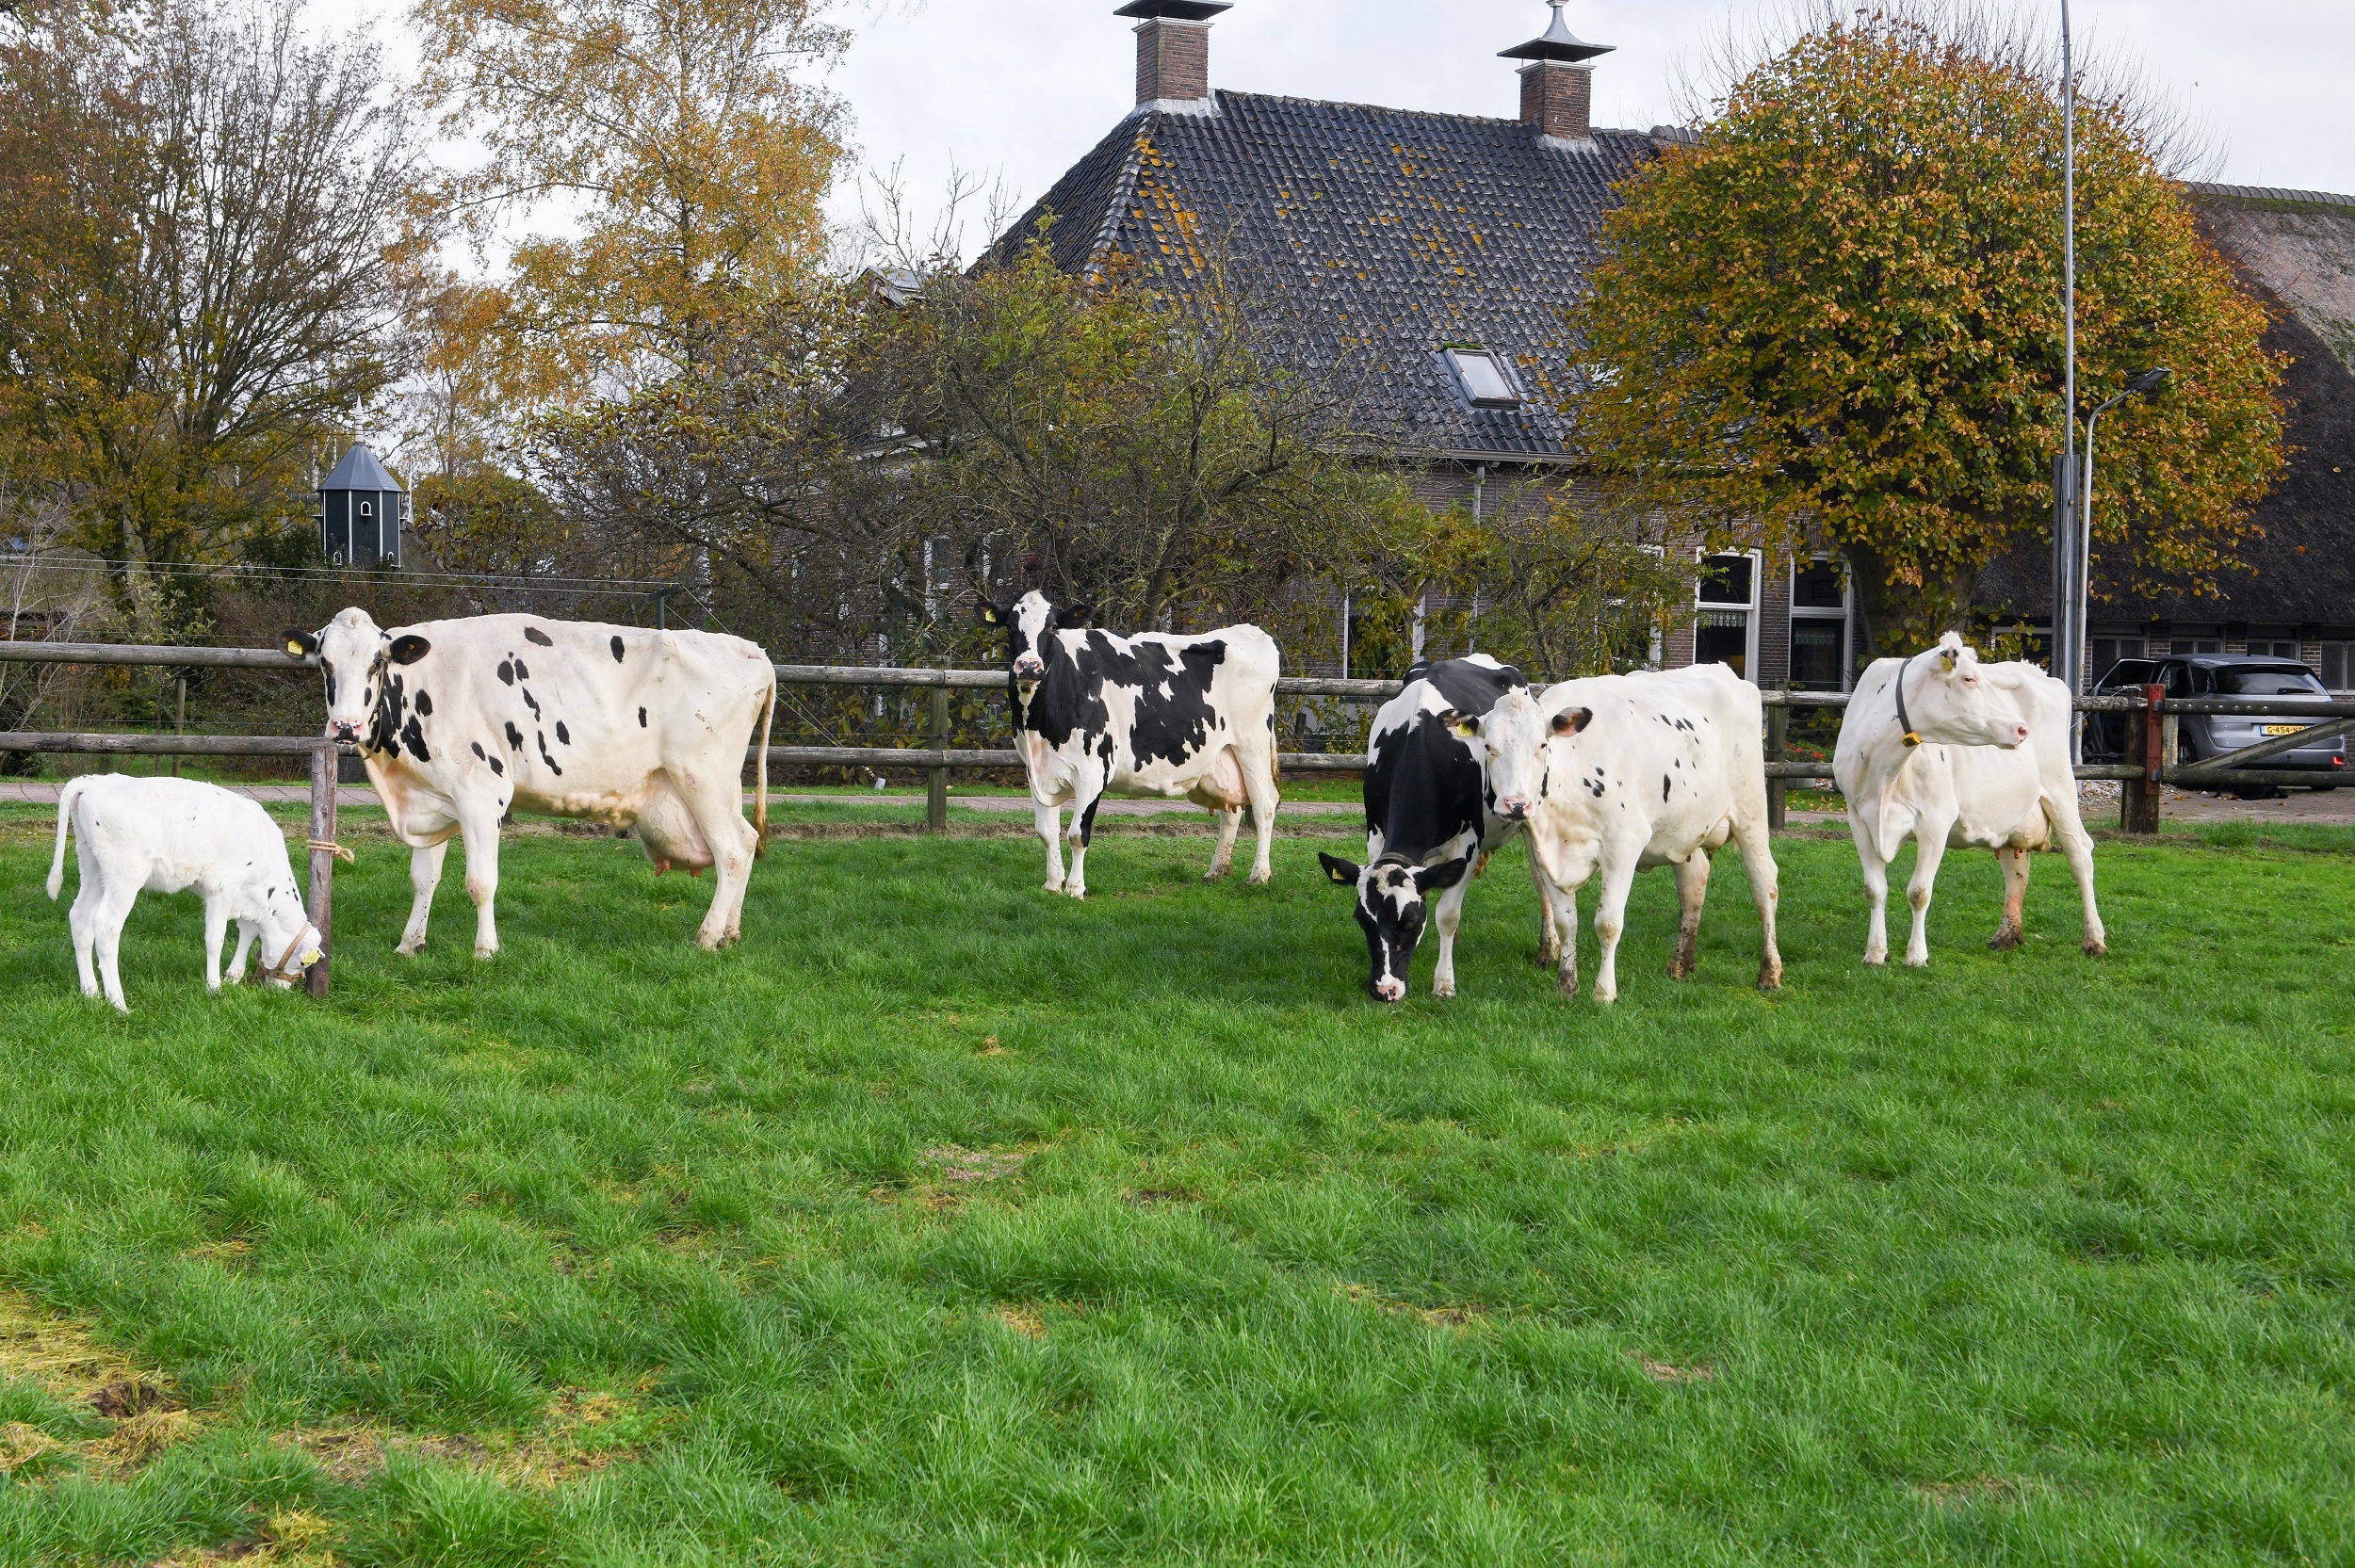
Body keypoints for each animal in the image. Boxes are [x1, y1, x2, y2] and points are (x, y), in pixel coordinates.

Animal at [289, 607, 777, 951]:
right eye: (324, 664)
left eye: (377, 663)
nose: (346, 726)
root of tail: (748, 649)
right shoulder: (434, 796)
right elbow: (423, 878)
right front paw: (409, 944)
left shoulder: (481, 795)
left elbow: (481, 881)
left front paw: (486, 950)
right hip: (716, 788)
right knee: (748, 840)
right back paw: (730, 932)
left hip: (702, 778)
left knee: (732, 853)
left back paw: (708, 936)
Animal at [980, 586, 1291, 899]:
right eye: (1009, 626)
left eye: (1053, 627)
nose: (1029, 666)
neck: (1042, 725)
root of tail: (1252, 631)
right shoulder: (1036, 770)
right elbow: (1046, 831)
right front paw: (1053, 884)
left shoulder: (1094, 769)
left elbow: (1078, 834)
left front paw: (1076, 888)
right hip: (1222, 756)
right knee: (1232, 811)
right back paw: (1217, 871)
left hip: (1252, 744)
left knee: (1264, 805)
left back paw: (1259, 875)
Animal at [1319, 650, 1554, 1003]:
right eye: (1362, 922)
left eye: (1411, 921)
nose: (1384, 990)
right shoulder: (1375, 835)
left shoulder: (1468, 842)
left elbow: (1447, 915)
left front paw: (1444, 982)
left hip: (1530, 813)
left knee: (1542, 882)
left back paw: (1549, 949)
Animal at [1470, 659, 1780, 1003]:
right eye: (1488, 747)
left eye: (1542, 745)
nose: (1516, 804)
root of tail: (1723, 670)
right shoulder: (1546, 851)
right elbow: (1566, 922)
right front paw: (1566, 986)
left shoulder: (1623, 845)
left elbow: (1608, 923)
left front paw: (1604, 993)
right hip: (1685, 827)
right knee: (1694, 883)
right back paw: (1679, 966)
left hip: (1751, 811)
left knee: (1765, 884)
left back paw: (1769, 973)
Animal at [1827, 631, 2110, 961]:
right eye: (1968, 678)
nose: (2021, 728)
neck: (1884, 771)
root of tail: (2038, 672)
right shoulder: (1858, 818)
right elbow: (1874, 889)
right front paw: (1875, 954)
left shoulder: (1936, 819)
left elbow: (1919, 892)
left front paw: (1916, 956)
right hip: (2011, 811)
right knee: (2016, 867)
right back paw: (2006, 935)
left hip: (2060, 788)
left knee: (2080, 855)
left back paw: (2094, 939)